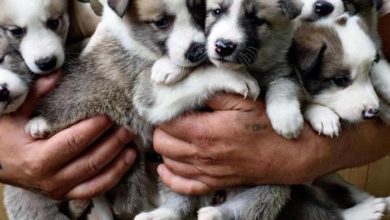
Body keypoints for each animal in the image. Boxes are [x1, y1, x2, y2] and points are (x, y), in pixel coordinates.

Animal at [18, 0, 260, 220]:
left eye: (200, 8)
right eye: (161, 22)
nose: (197, 51)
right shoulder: (148, 96)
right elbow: (201, 76)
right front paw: (237, 77)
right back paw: (39, 124)